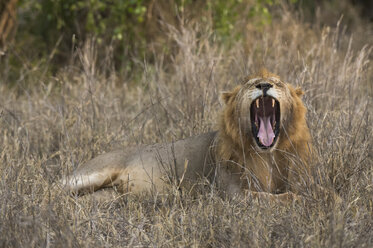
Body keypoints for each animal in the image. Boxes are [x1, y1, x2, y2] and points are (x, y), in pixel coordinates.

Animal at [63, 69, 314, 201]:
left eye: (278, 83)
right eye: (250, 84)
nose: (264, 85)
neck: (266, 154)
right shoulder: (231, 192)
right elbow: (276, 197)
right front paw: (301, 200)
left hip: (109, 195)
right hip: (91, 174)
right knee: (57, 188)